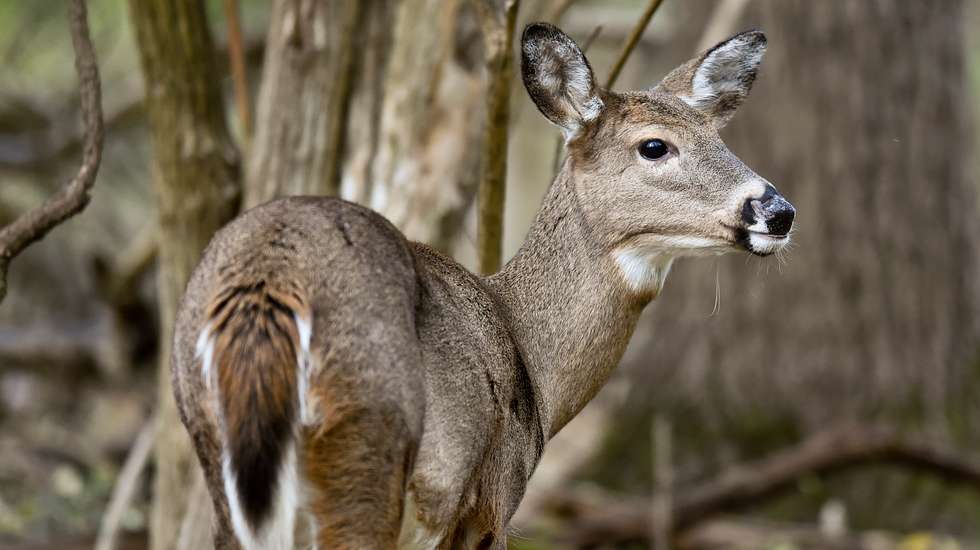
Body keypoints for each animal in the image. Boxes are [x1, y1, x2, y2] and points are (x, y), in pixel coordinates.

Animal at [172, 22, 795, 550]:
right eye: (654, 146)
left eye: (720, 139)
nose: (778, 211)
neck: (535, 371)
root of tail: (270, 280)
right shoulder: (489, 504)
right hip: (367, 449)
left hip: (218, 461)